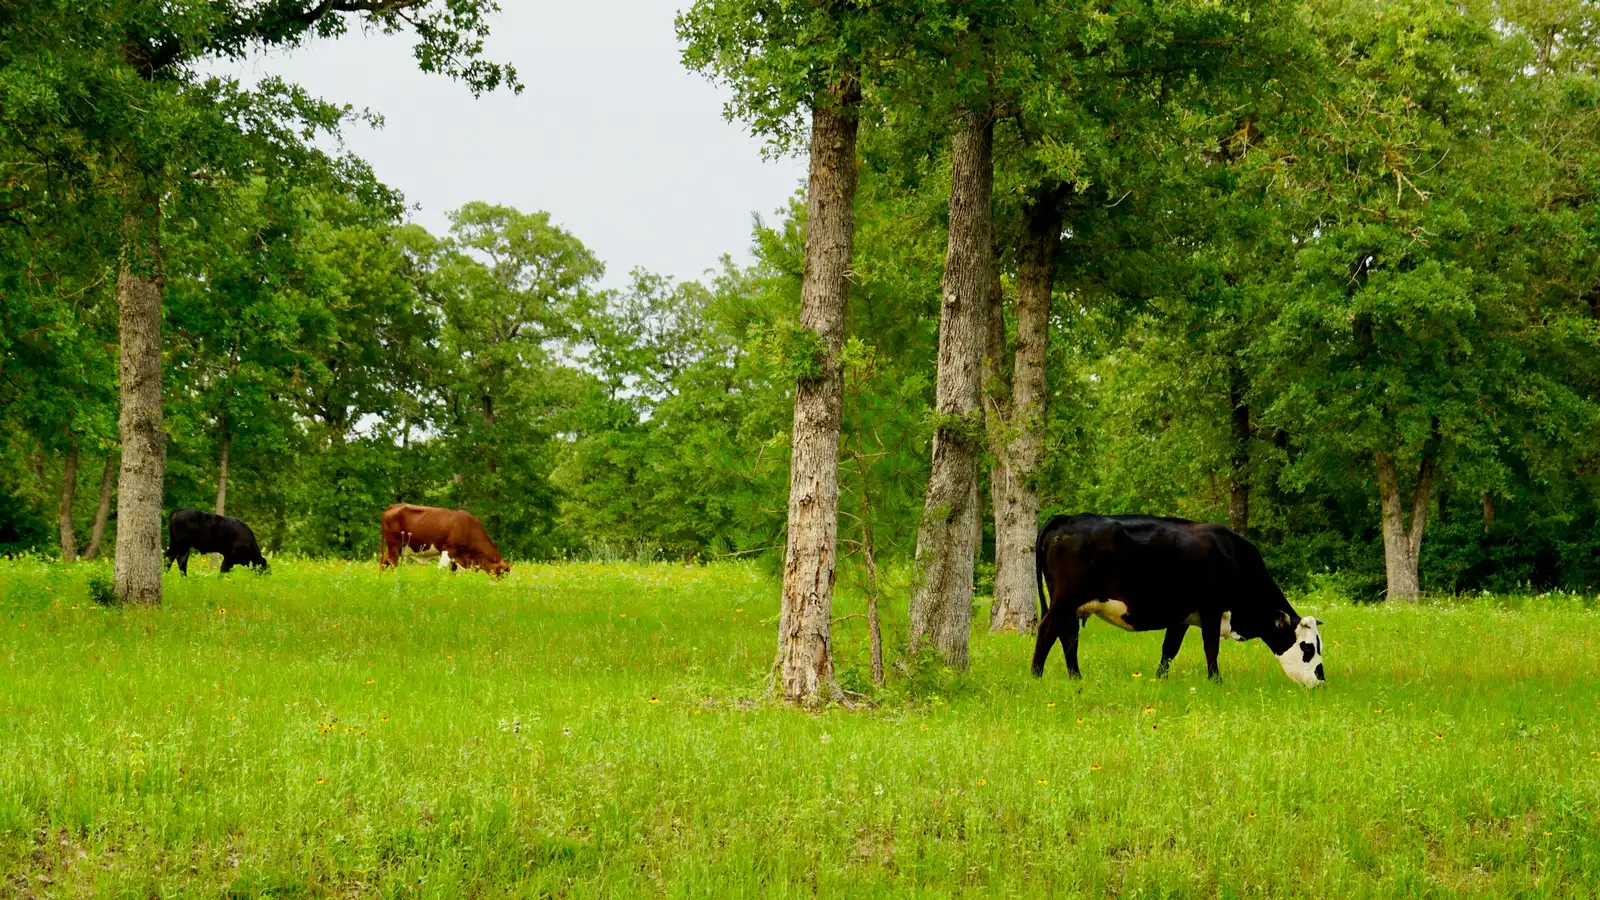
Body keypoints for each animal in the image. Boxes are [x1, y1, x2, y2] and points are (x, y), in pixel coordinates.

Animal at [379, 504, 510, 578]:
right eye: (503, 572)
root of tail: (394, 506)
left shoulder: (458, 557)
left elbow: (452, 573)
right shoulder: (449, 550)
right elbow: (440, 571)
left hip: (395, 548)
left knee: (383, 563)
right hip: (394, 546)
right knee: (393, 565)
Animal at [1032, 514, 1324, 687]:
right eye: (1308, 648)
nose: (1321, 681)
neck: (1233, 557)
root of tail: (1066, 518)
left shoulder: (1181, 616)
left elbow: (1169, 649)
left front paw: (1160, 679)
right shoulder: (1211, 610)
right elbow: (1211, 647)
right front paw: (1216, 681)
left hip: (1071, 605)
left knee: (1067, 637)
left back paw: (1076, 678)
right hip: (1064, 600)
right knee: (1047, 631)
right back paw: (1036, 675)